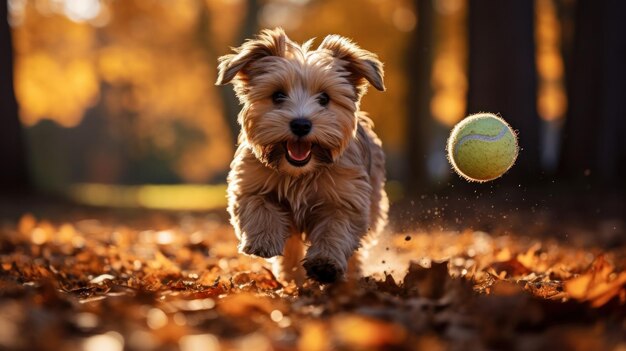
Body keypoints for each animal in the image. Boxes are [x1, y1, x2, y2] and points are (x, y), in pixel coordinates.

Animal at [217, 28, 388, 286]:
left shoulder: (346, 198)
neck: (299, 174)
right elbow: (260, 207)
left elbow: (335, 229)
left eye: (324, 98)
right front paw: (264, 240)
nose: (300, 124)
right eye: (278, 96)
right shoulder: (251, 184)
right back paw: (291, 275)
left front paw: (325, 263)